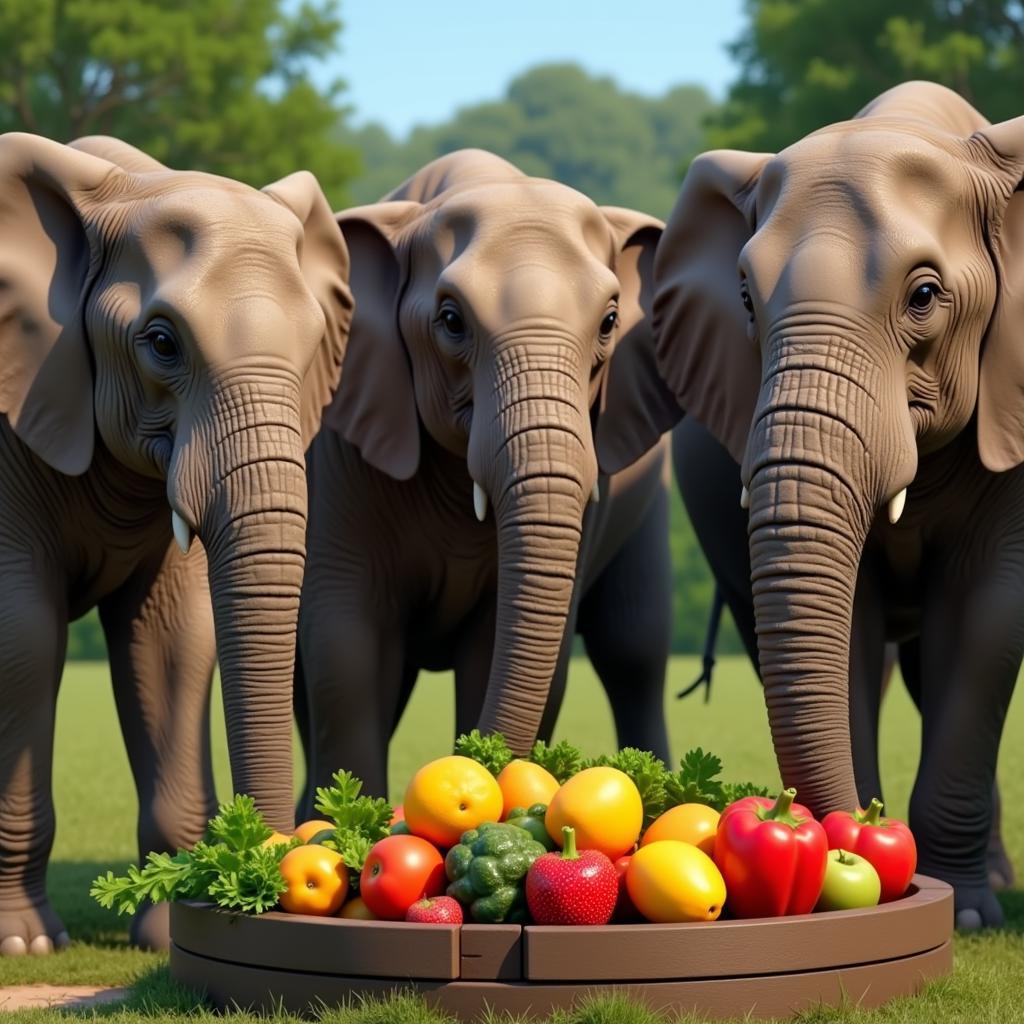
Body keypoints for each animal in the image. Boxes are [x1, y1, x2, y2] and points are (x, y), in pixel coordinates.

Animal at [0, 134, 356, 950]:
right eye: (161, 343)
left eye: (313, 347)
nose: (278, 870)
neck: (127, 185)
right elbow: (23, 635)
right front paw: (25, 942)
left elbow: (173, 640)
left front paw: (166, 931)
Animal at [294, 149, 679, 798]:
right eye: (451, 320)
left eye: (609, 322)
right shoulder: (339, 458)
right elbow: (345, 655)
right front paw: (340, 817)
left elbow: (500, 649)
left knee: (635, 649)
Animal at [618, 81, 1024, 929]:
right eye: (744, 298)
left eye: (925, 296)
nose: (852, 830)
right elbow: (853, 631)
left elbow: (986, 616)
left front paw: (966, 917)